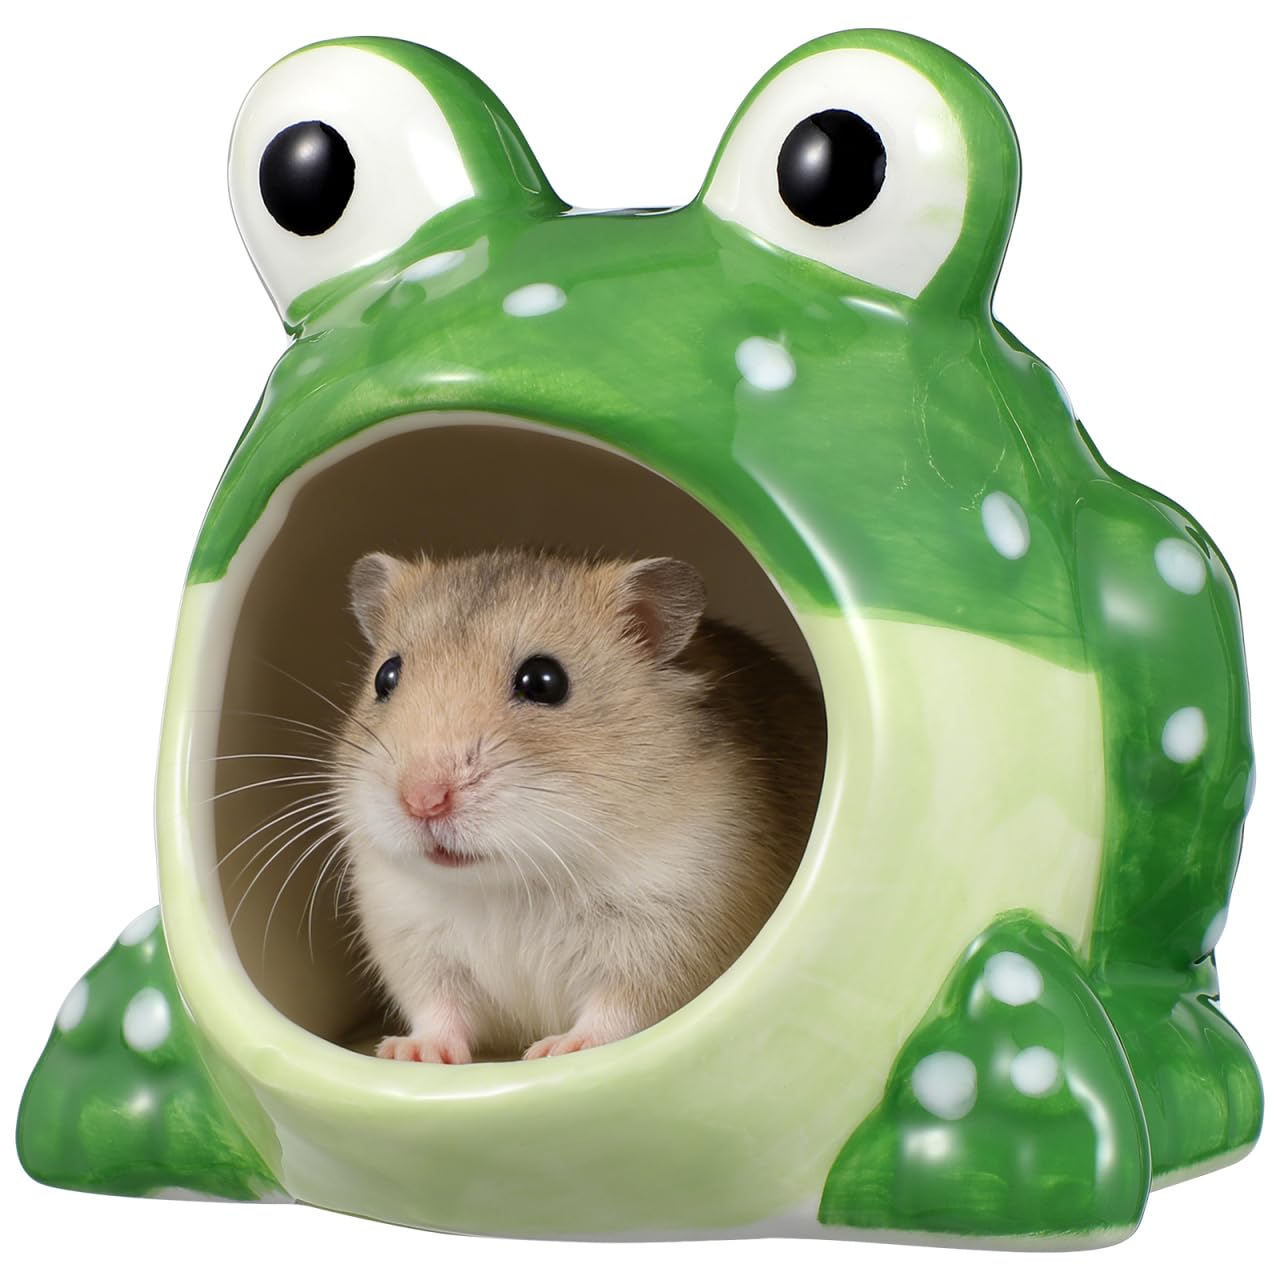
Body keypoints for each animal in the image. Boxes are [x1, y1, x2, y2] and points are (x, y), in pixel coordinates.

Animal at [333, 547, 824, 1063]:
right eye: (385, 676)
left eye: (543, 681)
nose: (422, 800)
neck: (513, 884)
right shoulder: (410, 938)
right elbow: (438, 1010)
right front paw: (406, 1053)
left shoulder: (665, 935)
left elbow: (616, 1010)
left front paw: (555, 1050)